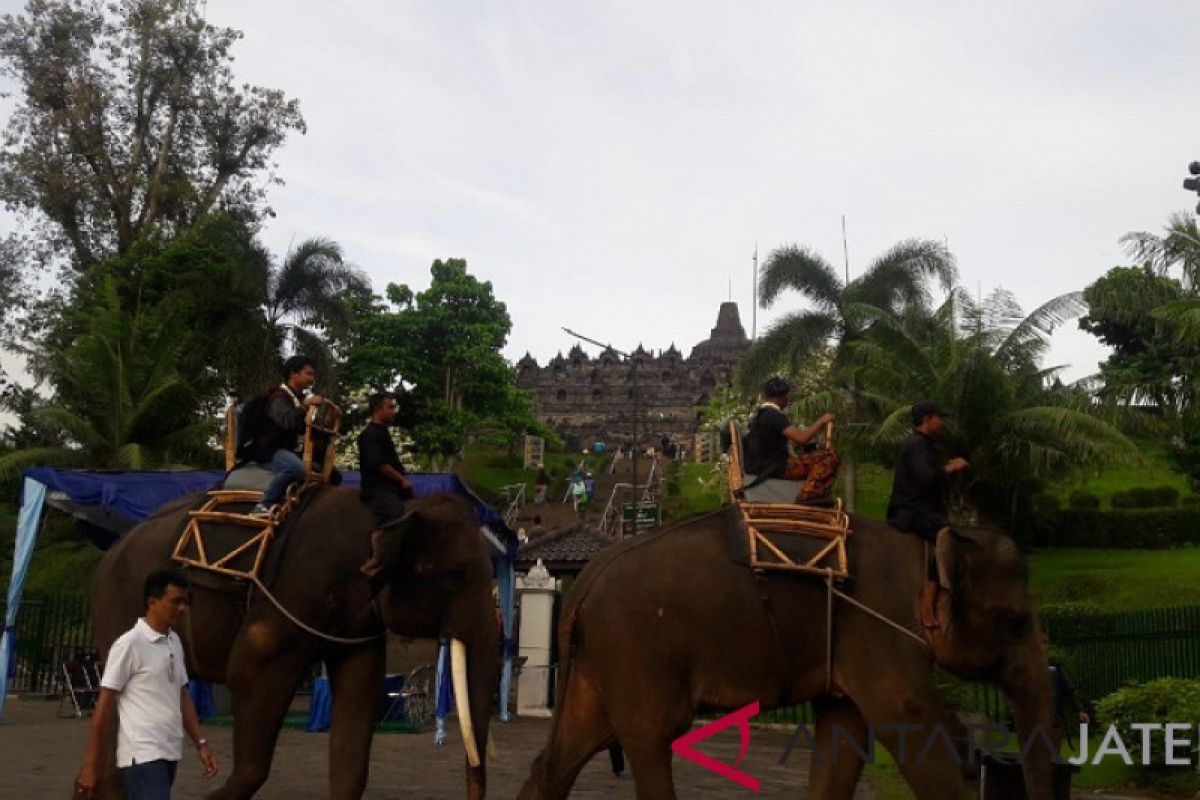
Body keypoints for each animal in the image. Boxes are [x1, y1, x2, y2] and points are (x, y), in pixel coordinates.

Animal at [90, 491, 496, 796]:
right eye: (457, 574)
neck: (394, 507)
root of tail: (116, 544)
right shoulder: (292, 593)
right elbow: (247, 672)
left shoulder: (356, 625)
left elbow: (361, 696)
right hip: (119, 602)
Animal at [518, 510, 1060, 800]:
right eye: (1015, 621)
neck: (927, 548)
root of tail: (585, 581)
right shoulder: (878, 628)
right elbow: (908, 722)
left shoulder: (853, 641)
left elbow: (844, 732)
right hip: (636, 647)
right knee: (653, 738)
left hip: (600, 658)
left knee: (564, 754)